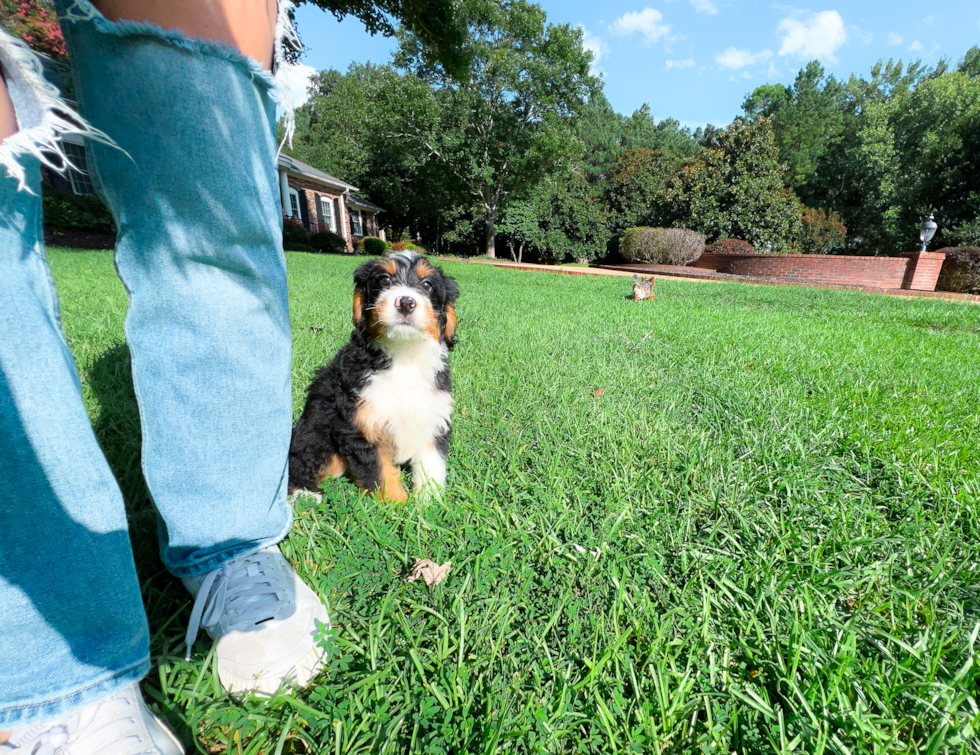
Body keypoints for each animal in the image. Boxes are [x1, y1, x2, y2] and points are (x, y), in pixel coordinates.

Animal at [290, 251, 460, 504]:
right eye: (385, 281)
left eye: (427, 285)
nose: (406, 302)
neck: (403, 356)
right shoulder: (362, 424)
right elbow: (382, 474)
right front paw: (397, 508)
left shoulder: (433, 417)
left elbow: (431, 467)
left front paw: (429, 504)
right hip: (318, 429)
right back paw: (305, 495)